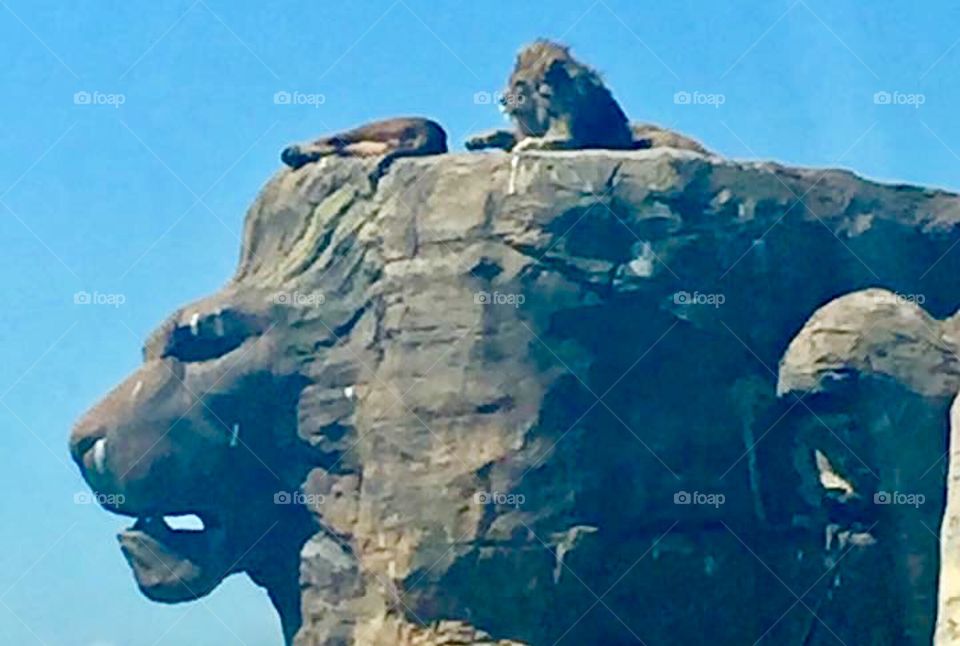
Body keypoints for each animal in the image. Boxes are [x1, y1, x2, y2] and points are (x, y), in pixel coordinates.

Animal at [465, 40, 708, 155]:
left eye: (519, 84)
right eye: (511, 82)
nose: (502, 100)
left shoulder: (569, 136)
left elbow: (542, 142)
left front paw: (524, 147)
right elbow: (506, 134)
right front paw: (477, 139)